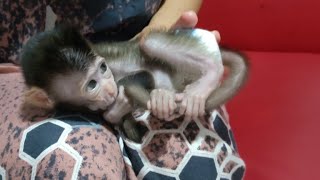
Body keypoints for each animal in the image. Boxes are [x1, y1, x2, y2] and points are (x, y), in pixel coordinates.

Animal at [21, 26, 249, 143]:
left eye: (103, 68)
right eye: (92, 85)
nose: (110, 90)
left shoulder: (105, 55)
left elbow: (143, 75)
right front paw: (118, 113)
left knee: (148, 43)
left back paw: (211, 73)